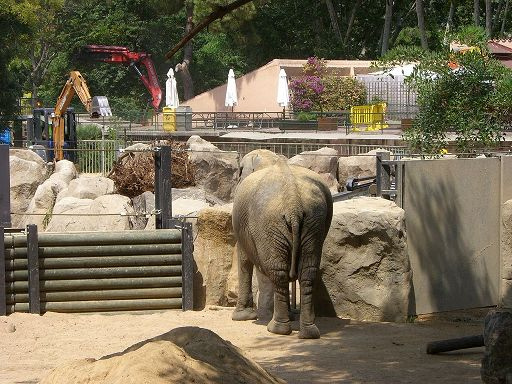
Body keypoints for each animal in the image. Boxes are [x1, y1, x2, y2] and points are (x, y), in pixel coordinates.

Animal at [231, 160, 334, 338]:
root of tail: (294, 204)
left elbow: (244, 259)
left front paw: (241, 317)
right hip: (313, 220)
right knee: (307, 271)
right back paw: (308, 332)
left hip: (269, 222)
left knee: (278, 271)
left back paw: (276, 329)